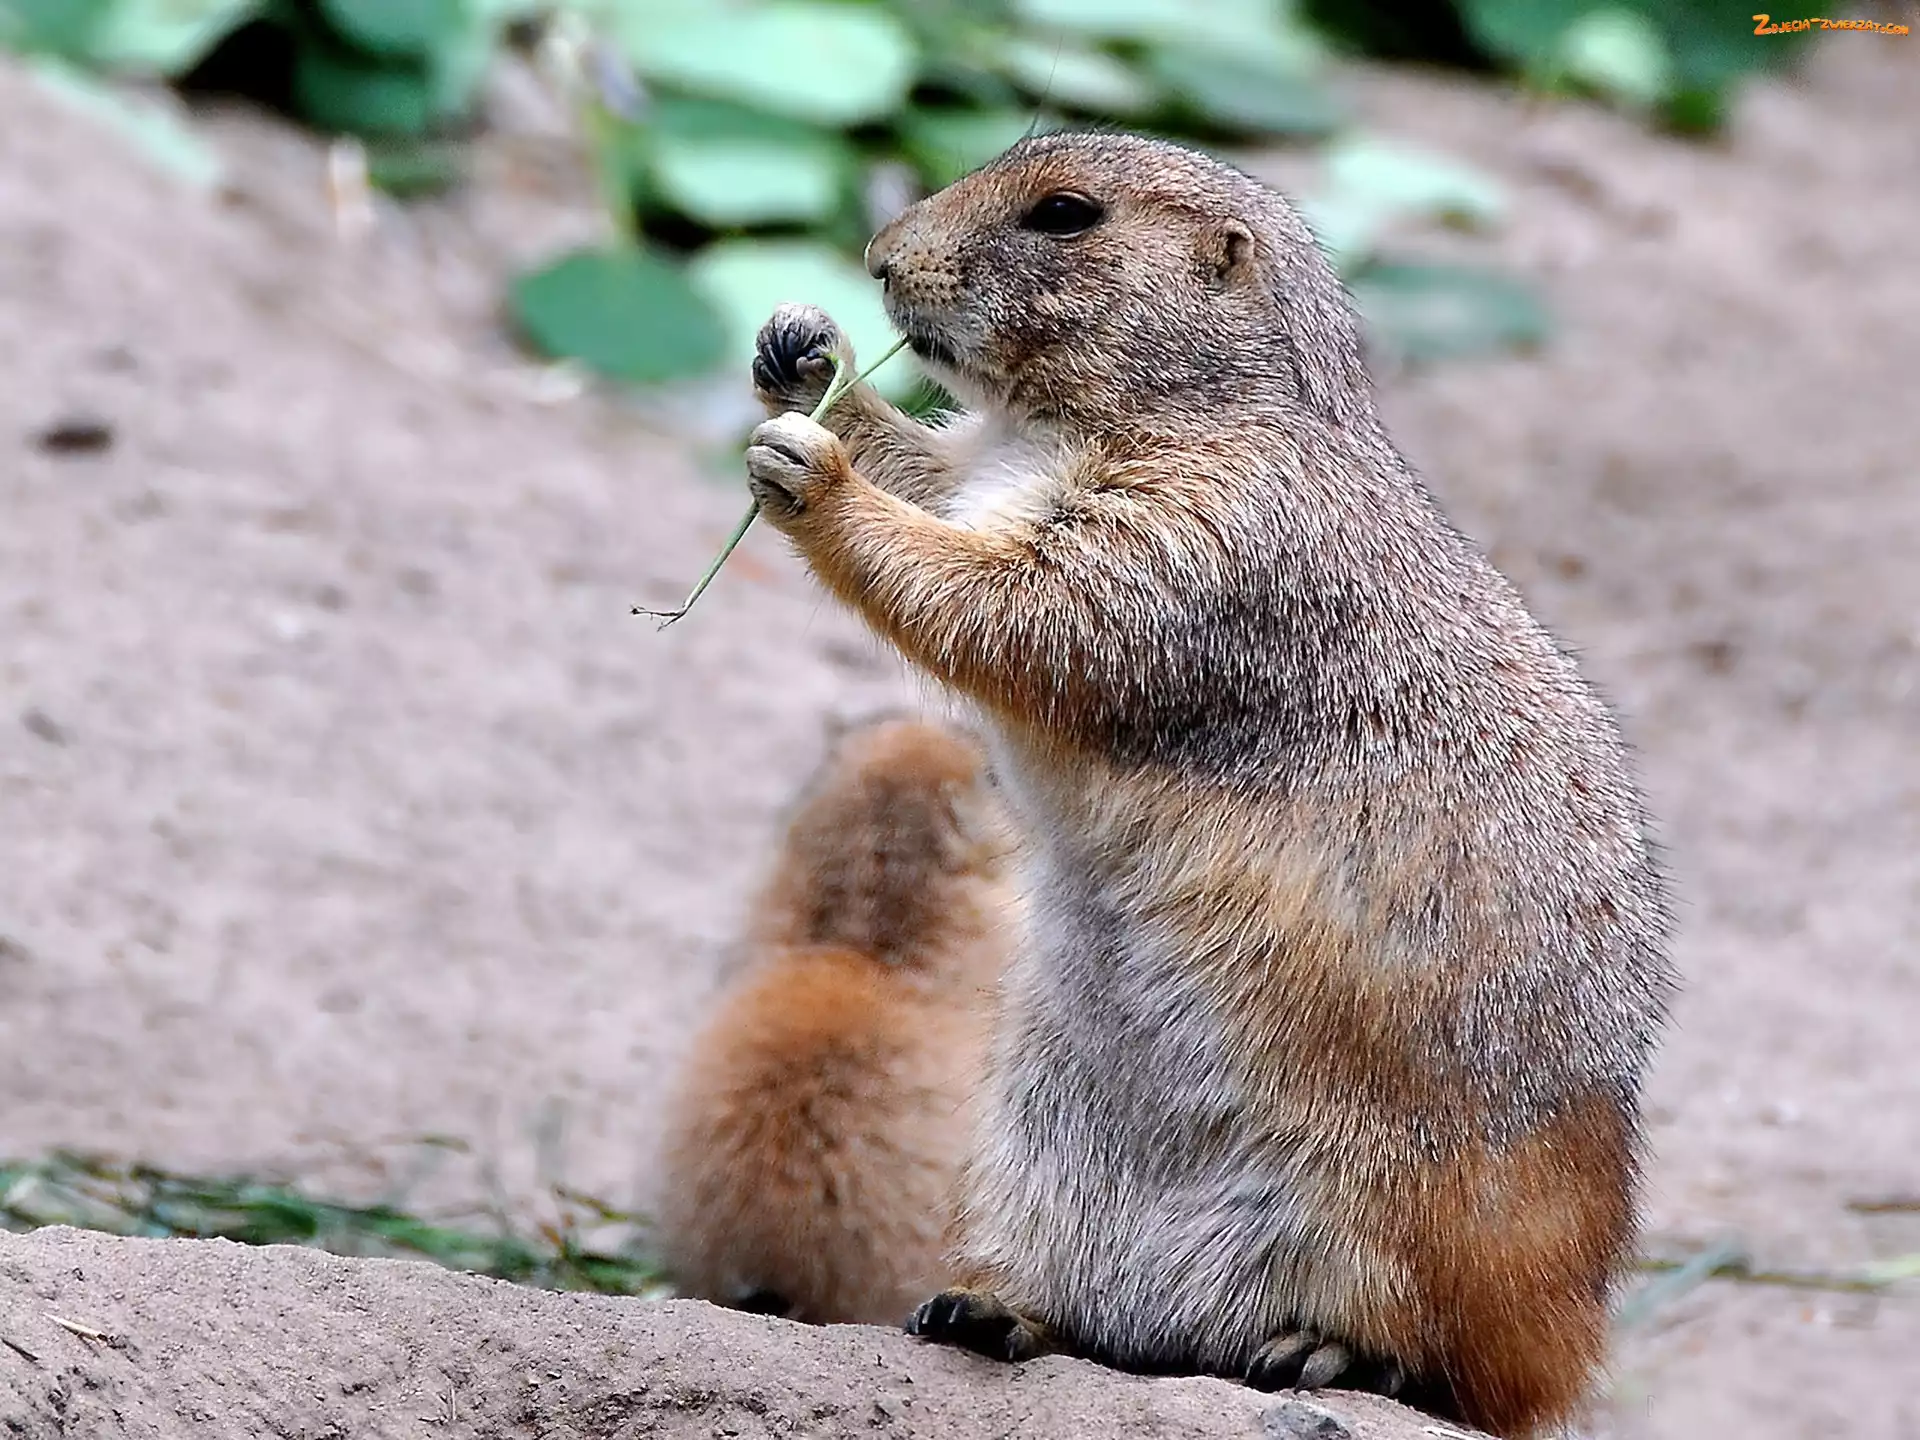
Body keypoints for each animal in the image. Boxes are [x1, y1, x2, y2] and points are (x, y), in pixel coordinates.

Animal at [738, 131, 1676, 1438]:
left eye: (1065, 213)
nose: (875, 258)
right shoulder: (996, 463)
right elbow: (938, 475)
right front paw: (803, 353)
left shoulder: (1207, 531)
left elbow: (1023, 601)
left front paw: (814, 467)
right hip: (1033, 1150)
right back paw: (995, 1310)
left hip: (1400, 1204)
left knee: (1440, 1357)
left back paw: (1328, 1354)